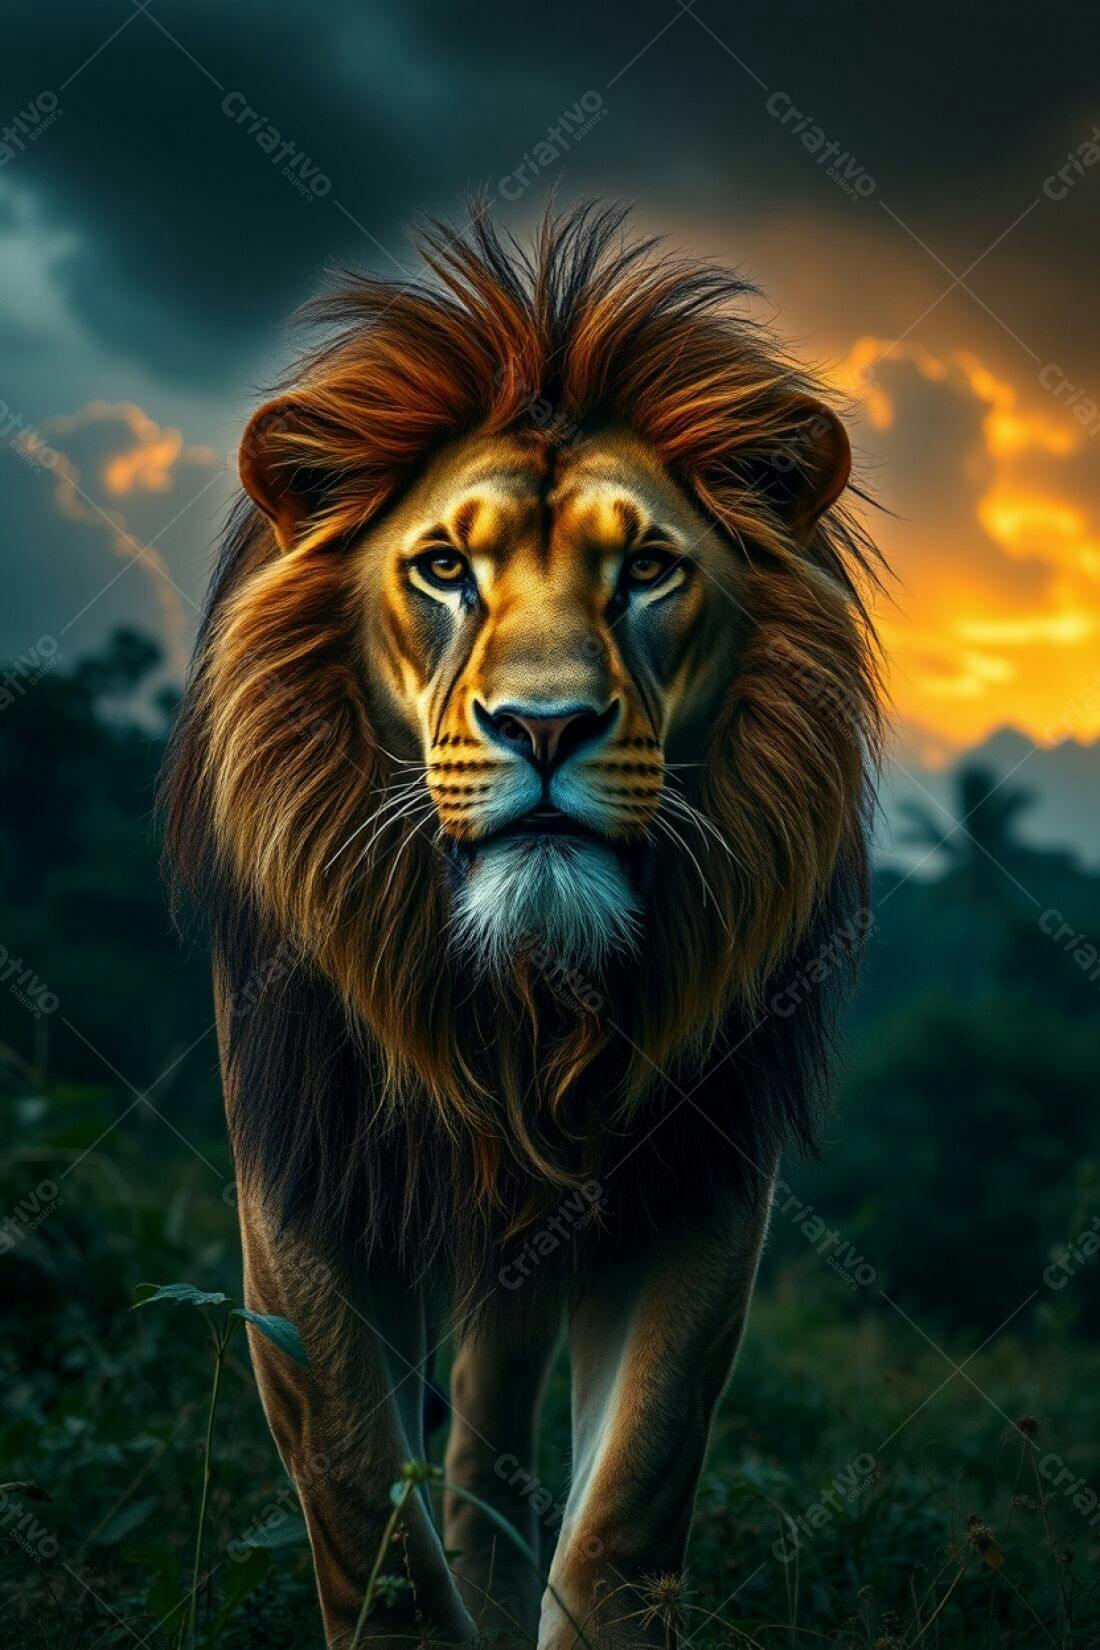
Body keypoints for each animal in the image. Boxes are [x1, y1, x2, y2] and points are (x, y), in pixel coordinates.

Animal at [163, 202, 883, 1649]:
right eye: (445, 567)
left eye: (648, 568)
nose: (545, 727)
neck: (526, 1004)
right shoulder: (304, 1182)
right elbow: (363, 1516)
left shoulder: (695, 1188)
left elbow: (620, 1522)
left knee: (489, 1442)